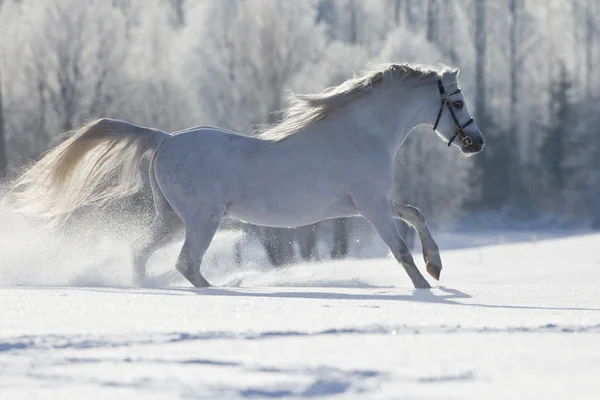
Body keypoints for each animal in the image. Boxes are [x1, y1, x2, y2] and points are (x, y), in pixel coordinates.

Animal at [11, 63, 486, 288]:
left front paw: (437, 268)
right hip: (201, 221)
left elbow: (416, 214)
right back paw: (226, 286)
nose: (475, 142)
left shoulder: (369, 205)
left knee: (142, 255)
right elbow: (400, 250)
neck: (362, 133)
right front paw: (425, 286)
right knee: (186, 264)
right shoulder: (370, 208)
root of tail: (164, 139)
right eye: (458, 102)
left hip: (172, 220)